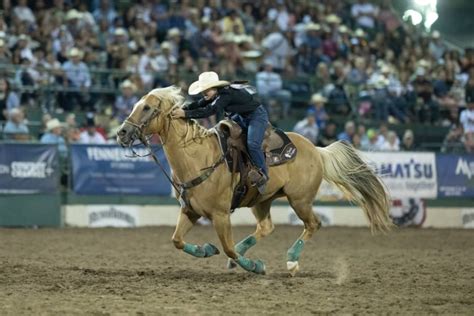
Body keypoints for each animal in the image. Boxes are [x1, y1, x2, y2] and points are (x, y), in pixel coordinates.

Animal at [116, 85, 390, 276]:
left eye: (147, 108)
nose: (122, 132)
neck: (198, 157)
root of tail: (316, 149)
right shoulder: (190, 211)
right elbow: (177, 240)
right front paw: (207, 250)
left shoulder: (220, 214)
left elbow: (226, 245)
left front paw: (255, 266)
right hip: (262, 200)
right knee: (266, 227)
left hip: (300, 200)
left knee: (313, 224)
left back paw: (291, 261)